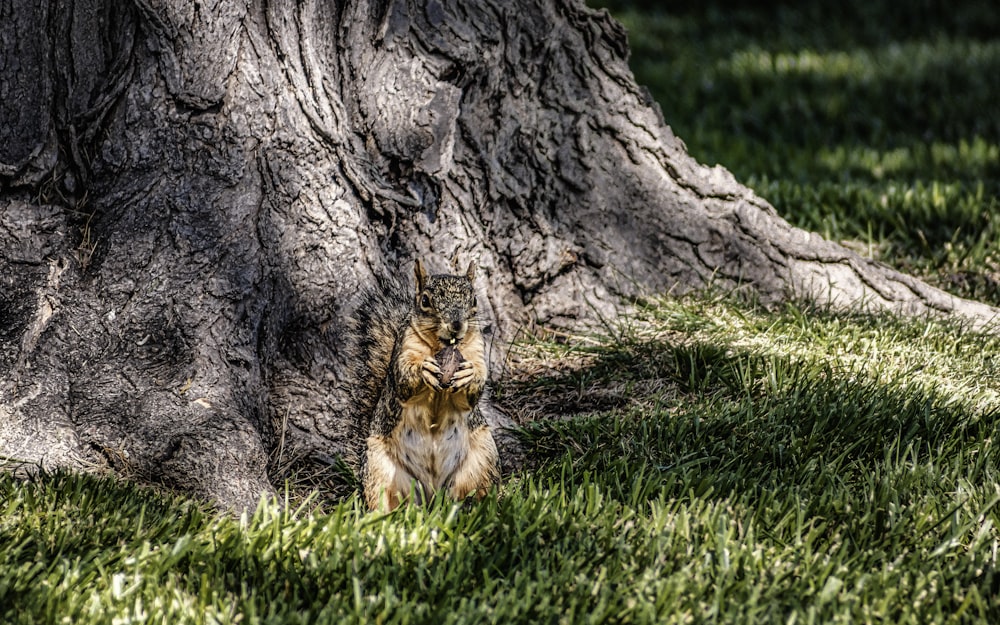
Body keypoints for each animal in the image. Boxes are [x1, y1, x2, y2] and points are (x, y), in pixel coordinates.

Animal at [352, 258, 500, 508]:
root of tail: (432, 495)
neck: (441, 346)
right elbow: (403, 379)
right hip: (378, 468)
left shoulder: (477, 350)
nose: (456, 324)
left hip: (482, 459)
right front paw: (424, 370)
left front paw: (470, 374)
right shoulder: (404, 349)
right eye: (425, 300)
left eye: (473, 300)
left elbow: (474, 392)